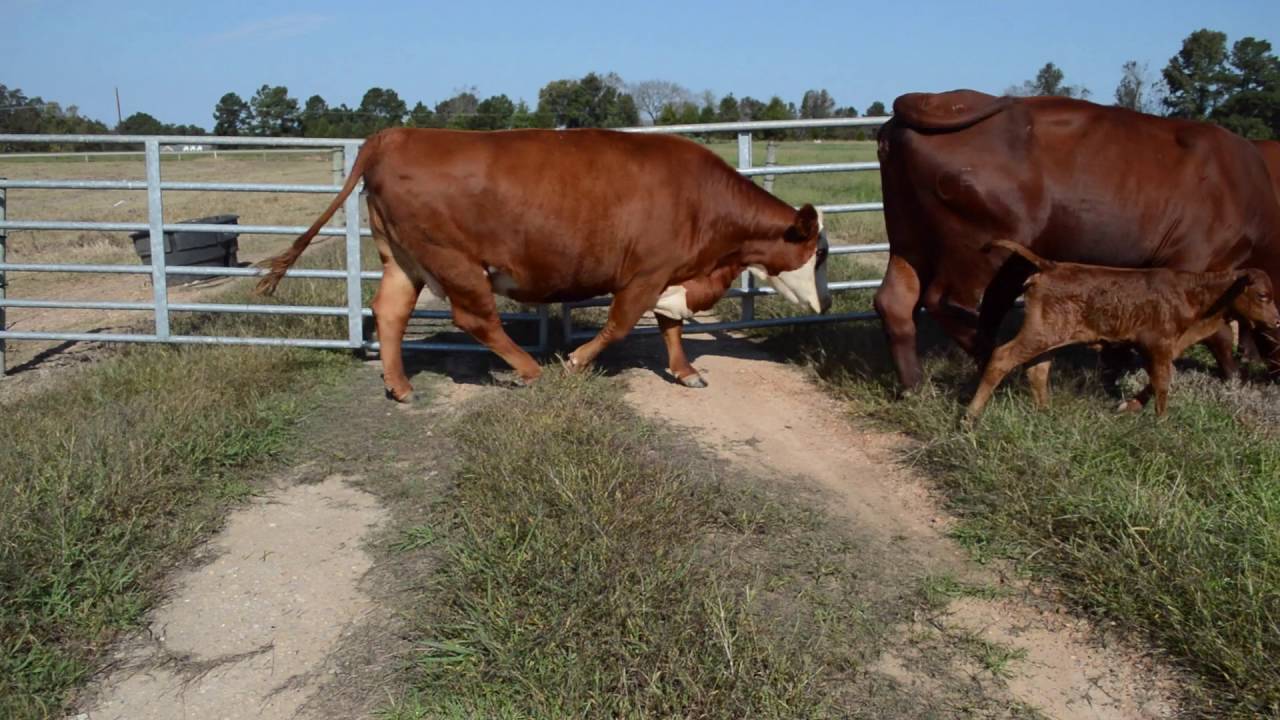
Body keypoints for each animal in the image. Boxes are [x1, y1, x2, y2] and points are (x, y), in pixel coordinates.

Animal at [256, 127, 832, 401]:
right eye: (820, 252)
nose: (826, 304)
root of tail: (395, 134)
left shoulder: (670, 273)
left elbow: (671, 323)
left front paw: (686, 372)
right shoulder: (647, 272)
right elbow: (622, 324)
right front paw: (575, 361)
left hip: (402, 258)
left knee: (391, 311)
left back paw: (400, 387)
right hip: (454, 260)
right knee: (475, 318)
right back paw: (529, 369)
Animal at [874, 90, 1280, 392]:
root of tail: (936, 100)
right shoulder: (1193, 264)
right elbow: (1217, 332)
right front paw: (1234, 376)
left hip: (910, 241)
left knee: (897, 302)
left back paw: (915, 386)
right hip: (975, 249)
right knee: (950, 304)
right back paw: (986, 359)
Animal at [966, 241, 1280, 420]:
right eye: (1263, 295)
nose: (1277, 321)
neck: (1193, 295)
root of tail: (1051, 265)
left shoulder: (1165, 348)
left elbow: (1157, 380)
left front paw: (1130, 407)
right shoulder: (1158, 345)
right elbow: (1162, 383)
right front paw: (1162, 422)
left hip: (1050, 337)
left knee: (1037, 370)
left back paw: (1045, 413)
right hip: (1038, 333)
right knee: (1002, 358)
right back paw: (971, 417)